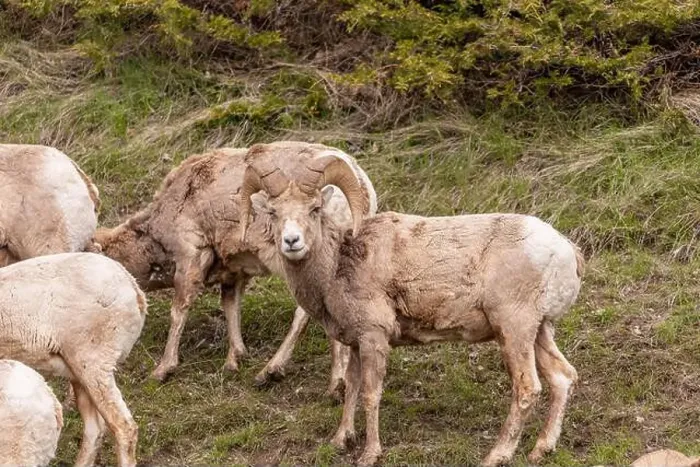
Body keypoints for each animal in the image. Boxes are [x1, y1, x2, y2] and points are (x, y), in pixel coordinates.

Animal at [94, 143, 376, 397]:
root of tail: (362, 187)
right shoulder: (234, 271)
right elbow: (231, 307)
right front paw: (234, 360)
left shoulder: (191, 257)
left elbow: (179, 311)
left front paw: (163, 370)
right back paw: (332, 386)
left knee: (303, 312)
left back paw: (274, 373)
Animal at [239, 144, 585, 466]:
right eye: (273, 212)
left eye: (314, 209)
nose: (292, 241)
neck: (338, 265)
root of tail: (566, 250)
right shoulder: (355, 343)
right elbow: (351, 389)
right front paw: (340, 440)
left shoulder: (374, 339)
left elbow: (370, 394)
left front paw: (370, 454)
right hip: (539, 331)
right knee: (562, 377)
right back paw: (541, 449)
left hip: (514, 330)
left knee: (527, 388)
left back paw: (496, 455)